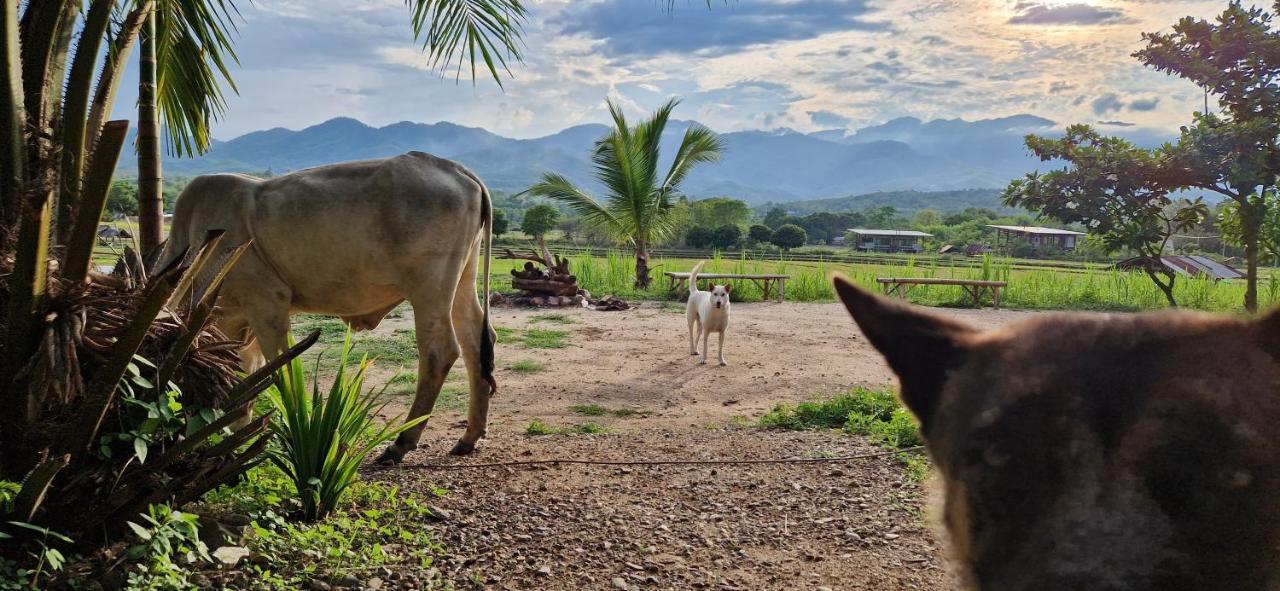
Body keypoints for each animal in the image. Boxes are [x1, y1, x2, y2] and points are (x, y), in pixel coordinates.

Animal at [158, 150, 494, 460]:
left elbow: (283, 370)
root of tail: (454, 168)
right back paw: (468, 437)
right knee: (477, 343)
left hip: (429, 288)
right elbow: (242, 374)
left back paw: (401, 443)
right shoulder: (238, 321)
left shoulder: (266, 303)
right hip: (463, 279)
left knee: (439, 351)